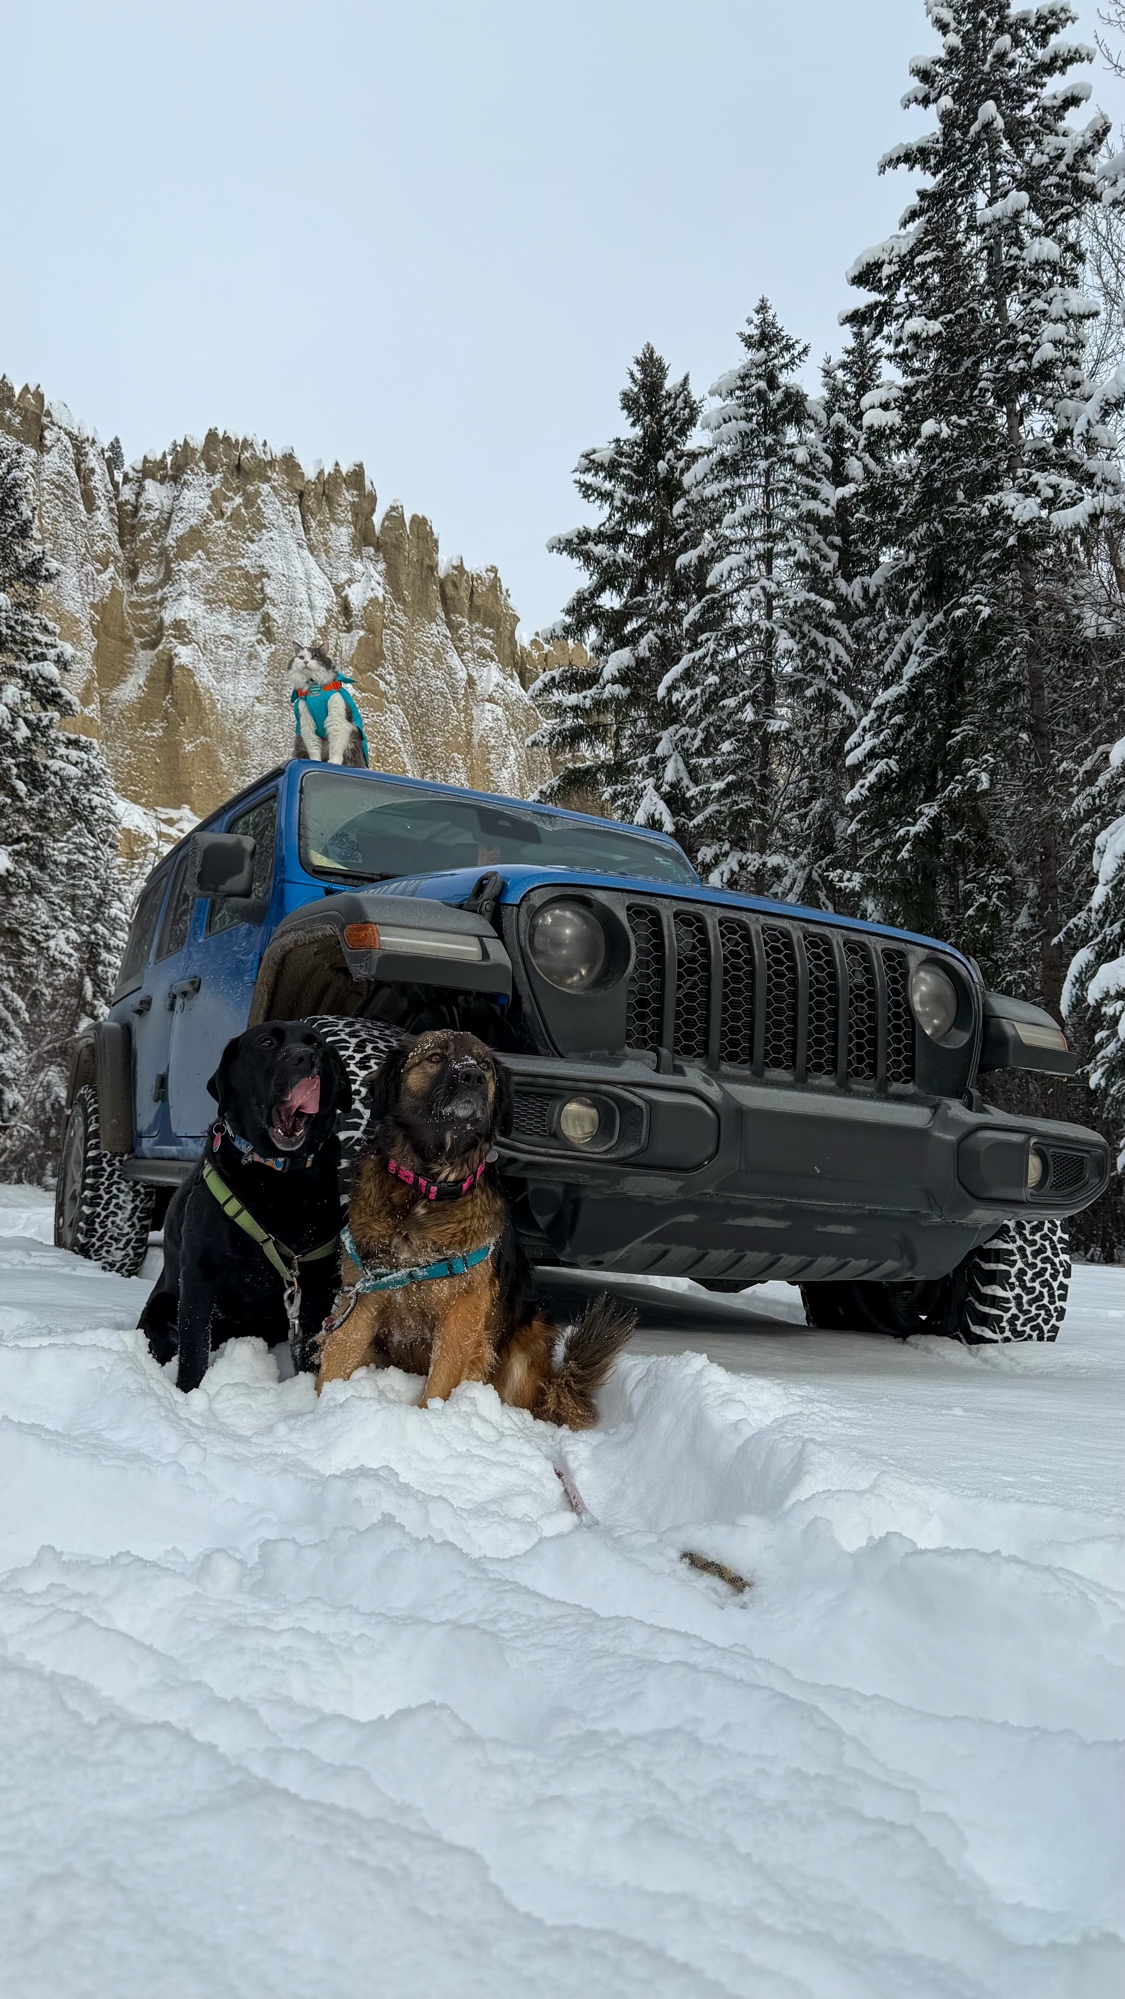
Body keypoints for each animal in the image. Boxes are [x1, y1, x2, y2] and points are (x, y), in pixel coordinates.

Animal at [141, 1022, 351, 1392]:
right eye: (266, 1043)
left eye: (317, 1045)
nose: (304, 1057)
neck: (276, 1180)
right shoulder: (199, 1272)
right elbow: (195, 1344)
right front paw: (187, 1394)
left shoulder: (316, 1277)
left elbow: (311, 1346)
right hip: (162, 1307)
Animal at [315, 1029, 635, 1425]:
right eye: (435, 1057)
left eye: (484, 1064)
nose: (472, 1076)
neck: (426, 1189)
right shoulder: (361, 1295)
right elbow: (338, 1356)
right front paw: (319, 1410)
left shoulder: (464, 1309)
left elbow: (444, 1375)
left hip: (526, 1344)